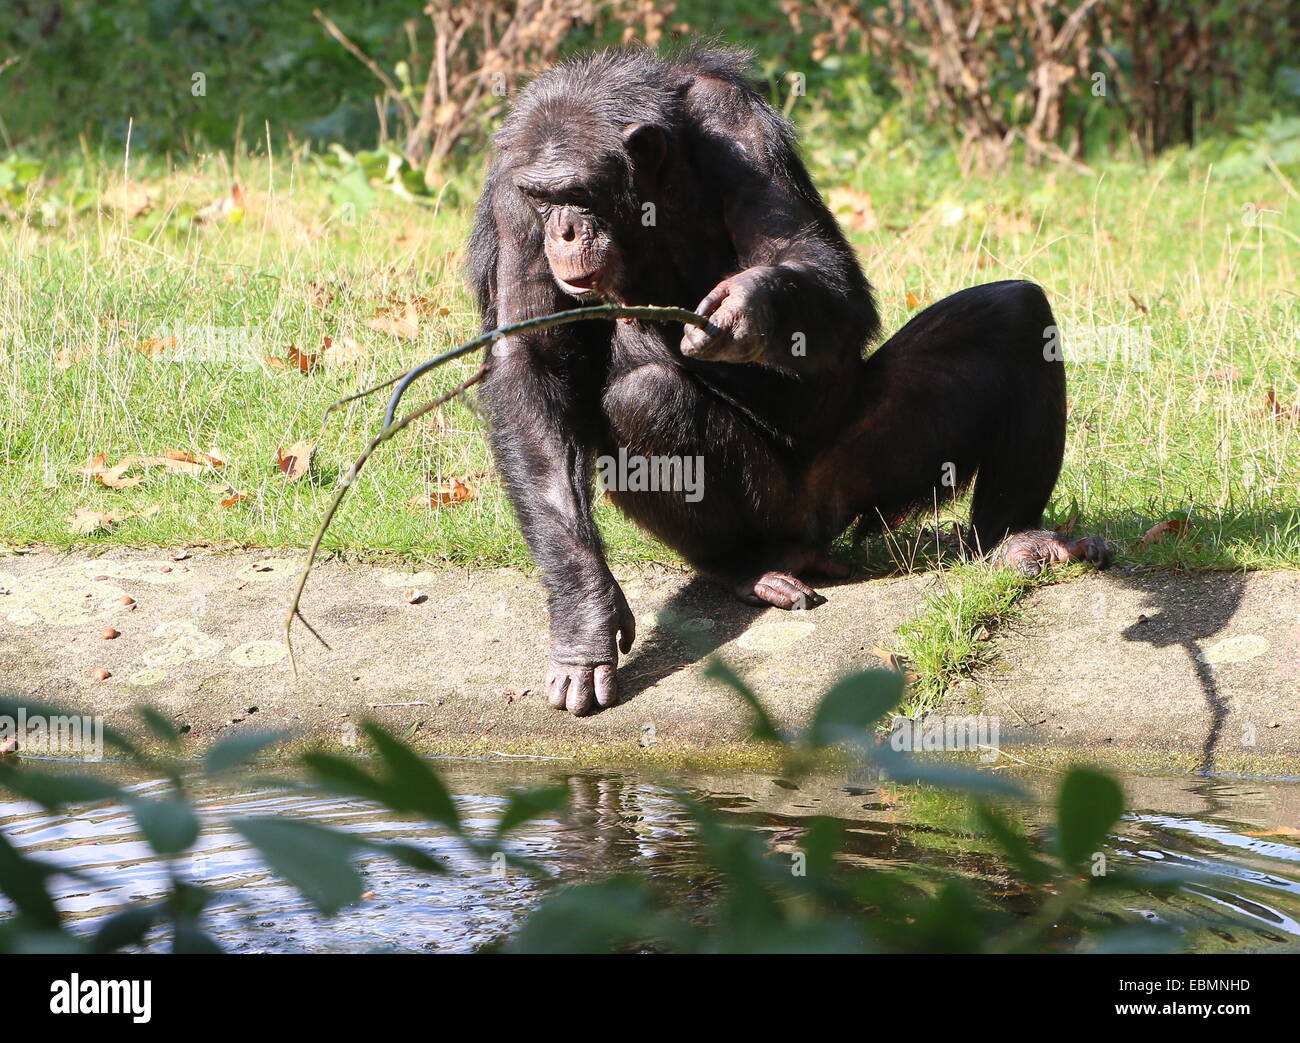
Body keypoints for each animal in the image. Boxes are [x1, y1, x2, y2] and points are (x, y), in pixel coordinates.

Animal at [467, 48, 1107, 717]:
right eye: (543, 201)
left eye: (579, 195)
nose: (563, 230)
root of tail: (816, 523)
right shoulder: (512, 203)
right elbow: (530, 363)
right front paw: (583, 617)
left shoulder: (740, 128)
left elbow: (821, 268)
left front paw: (749, 306)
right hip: (773, 504)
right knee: (644, 399)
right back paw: (749, 566)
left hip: (869, 467)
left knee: (1015, 313)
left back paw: (1019, 539)